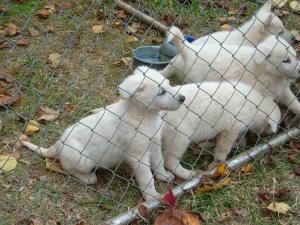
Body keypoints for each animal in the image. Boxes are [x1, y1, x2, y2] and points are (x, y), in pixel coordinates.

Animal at [21, 66, 185, 200]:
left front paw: (163, 175)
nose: (183, 98)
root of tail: (59, 142)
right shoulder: (138, 156)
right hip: (82, 159)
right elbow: (147, 178)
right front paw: (152, 196)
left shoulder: (154, 143)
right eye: (161, 92)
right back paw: (87, 177)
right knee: (68, 168)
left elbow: (158, 162)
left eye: (169, 84)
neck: (144, 116)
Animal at [163, 26, 300, 116]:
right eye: (286, 60)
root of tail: (191, 51)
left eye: (294, 56)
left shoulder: (282, 90)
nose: (299, 70)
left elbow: (293, 101)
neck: (267, 73)